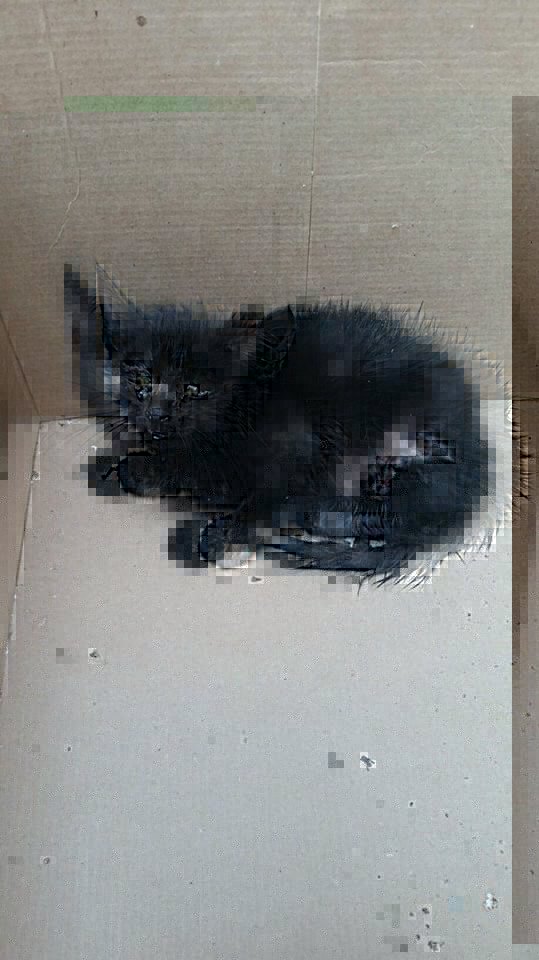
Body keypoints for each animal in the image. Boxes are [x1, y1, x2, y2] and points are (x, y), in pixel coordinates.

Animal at [65, 263, 511, 586]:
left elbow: (265, 497)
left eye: (194, 390)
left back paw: (313, 514)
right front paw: (135, 464)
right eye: (140, 379)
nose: (155, 413)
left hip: (421, 454)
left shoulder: (299, 448)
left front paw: (225, 533)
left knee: (392, 512)